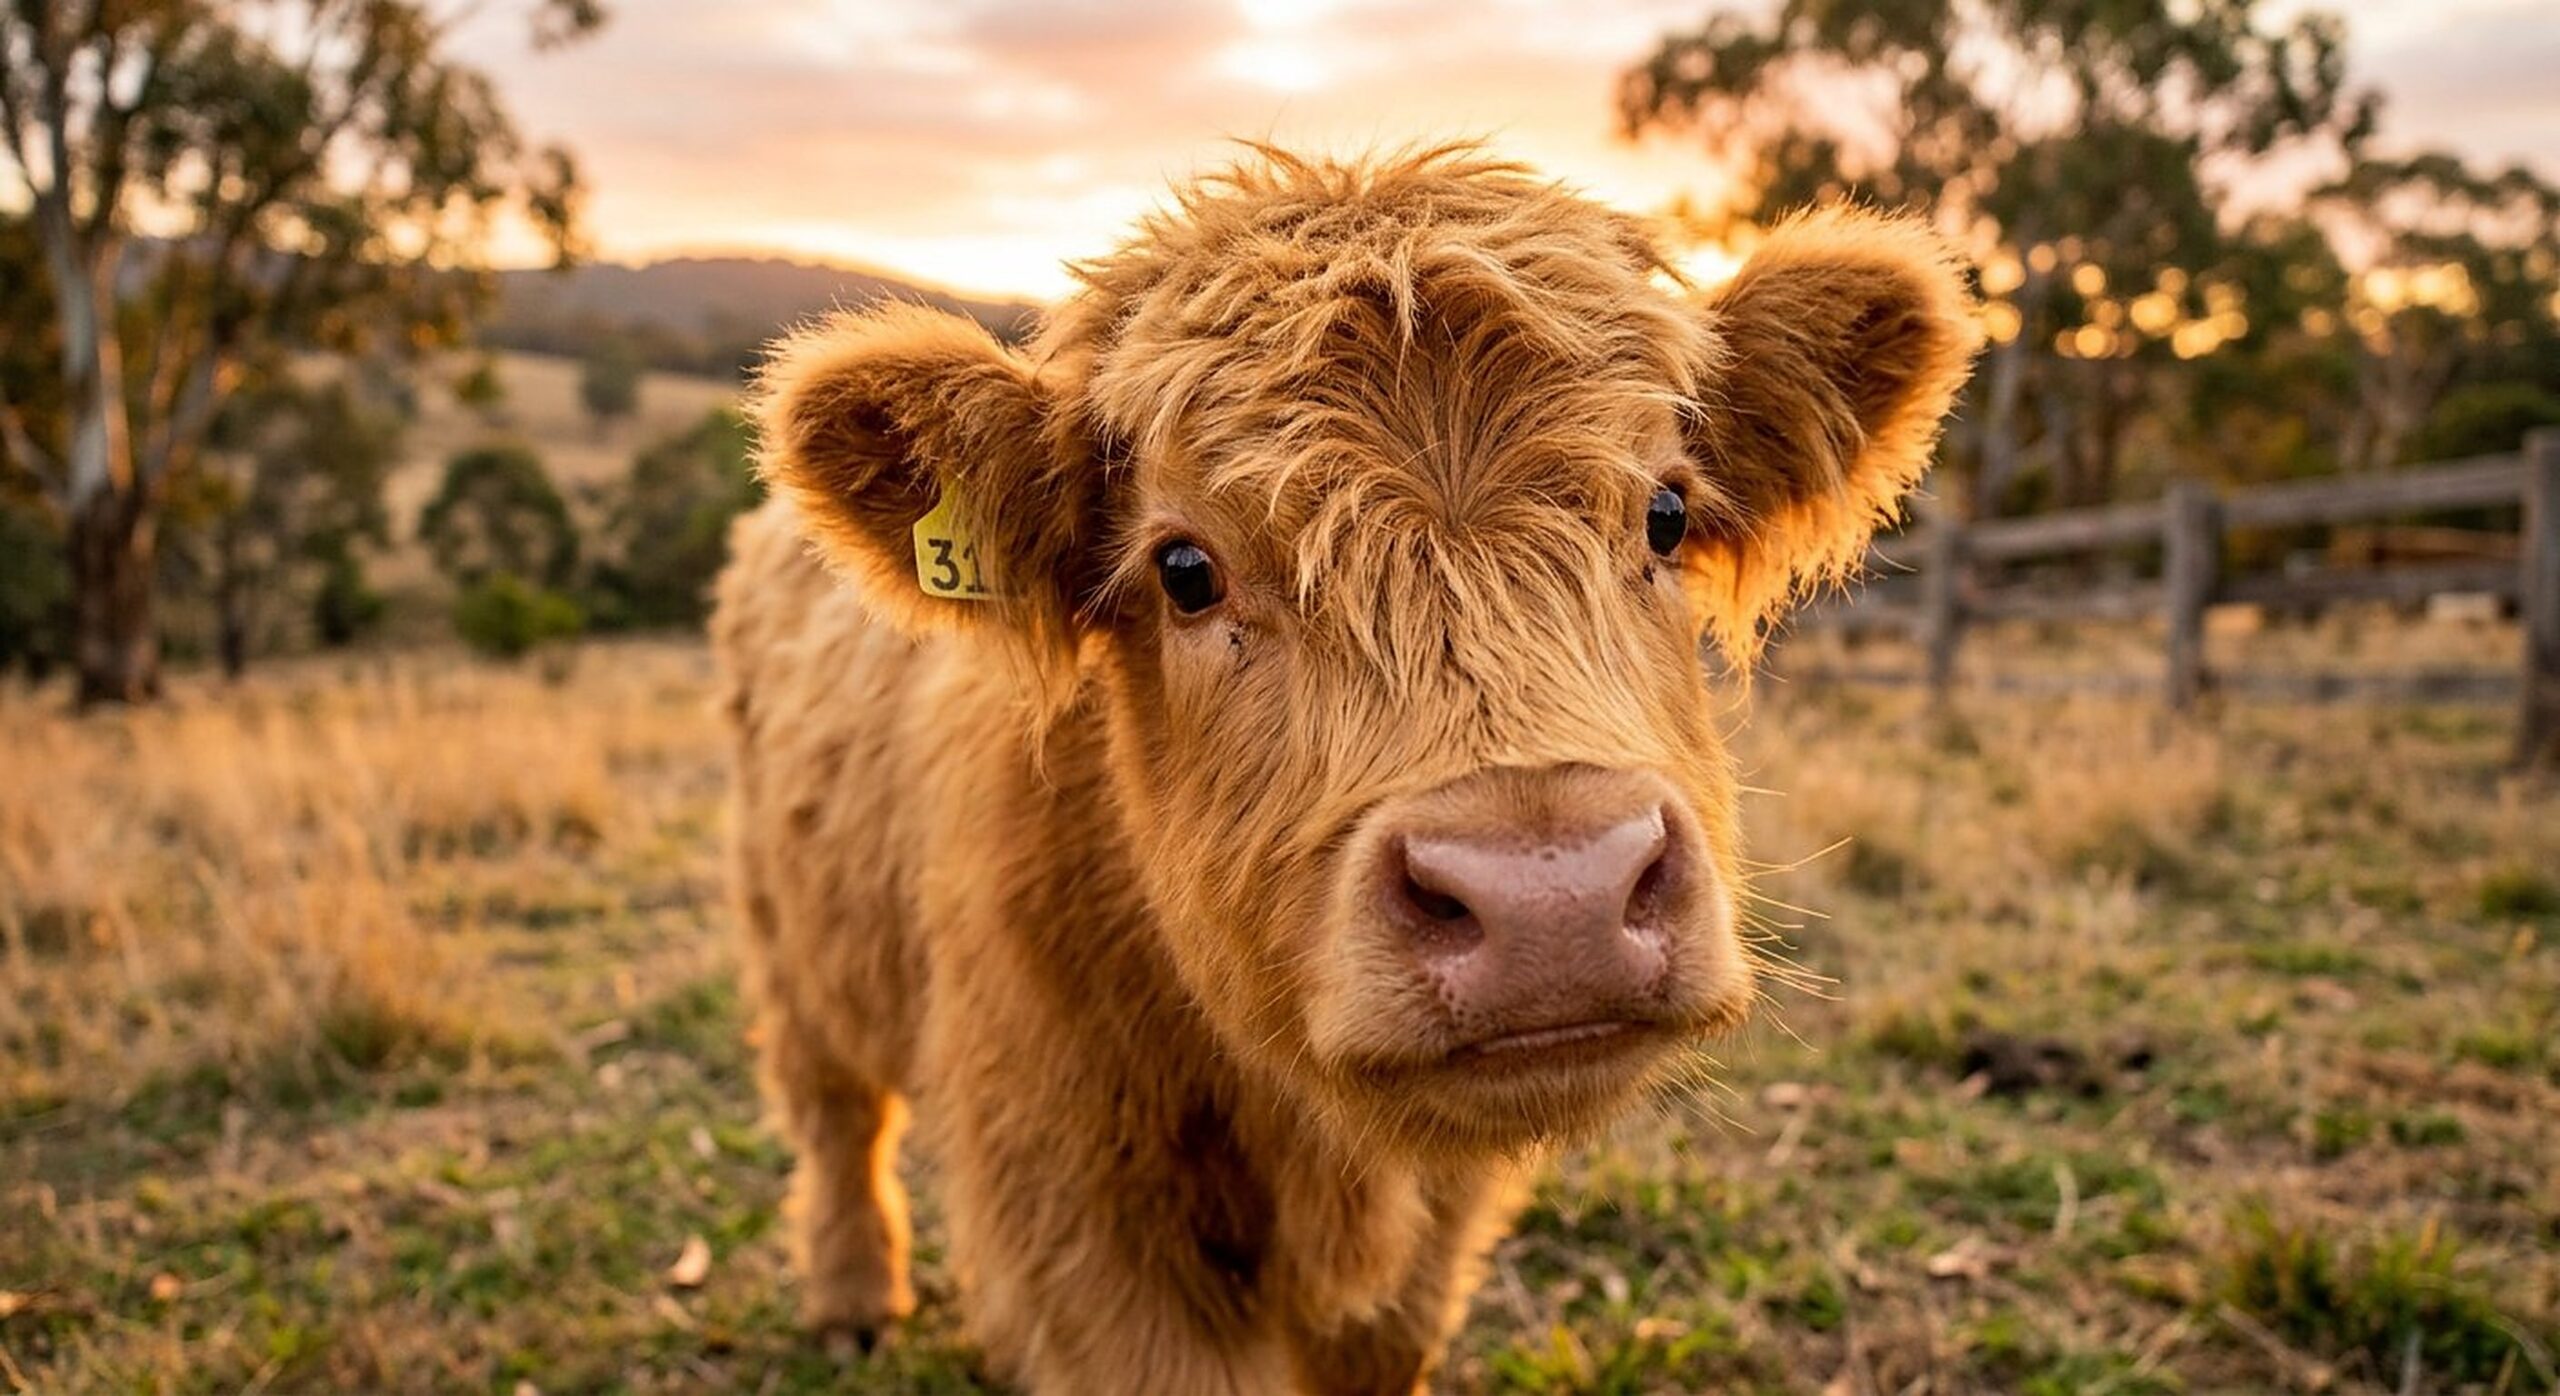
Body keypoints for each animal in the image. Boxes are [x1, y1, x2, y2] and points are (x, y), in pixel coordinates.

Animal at [710, 143, 1979, 1394]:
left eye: (1665, 514)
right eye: (1184, 569)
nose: (1551, 895)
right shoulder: (1077, 1207)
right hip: (785, 934)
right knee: (833, 1114)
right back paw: (852, 1301)